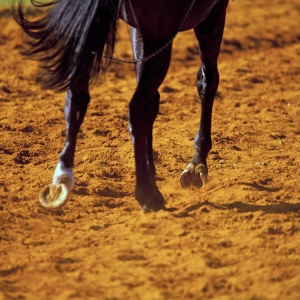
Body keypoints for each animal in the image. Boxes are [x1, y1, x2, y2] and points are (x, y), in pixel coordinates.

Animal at [12, 0, 229, 212]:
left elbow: (153, 102)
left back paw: (61, 180)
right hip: (161, 32)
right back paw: (148, 194)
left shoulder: (139, 30)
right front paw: (196, 165)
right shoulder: (211, 13)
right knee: (137, 107)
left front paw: (153, 170)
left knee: (77, 99)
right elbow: (207, 81)